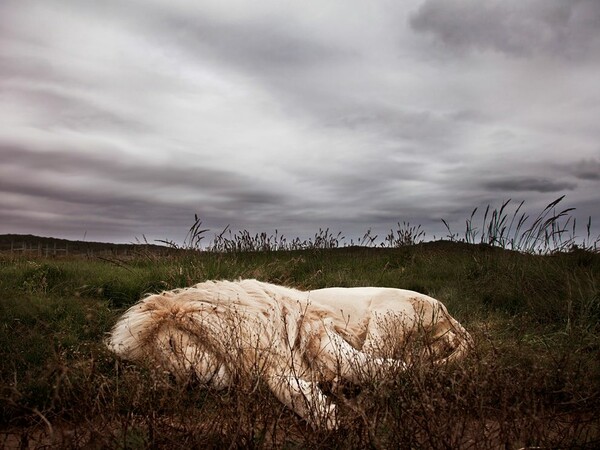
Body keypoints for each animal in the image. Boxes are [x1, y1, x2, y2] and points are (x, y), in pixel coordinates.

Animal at [108, 278, 474, 428]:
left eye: (170, 345)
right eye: (162, 371)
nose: (191, 382)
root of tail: (448, 314)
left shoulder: (316, 329)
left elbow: (359, 365)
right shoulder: (276, 359)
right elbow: (291, 389)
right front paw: (326, 415)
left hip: (386, 316)